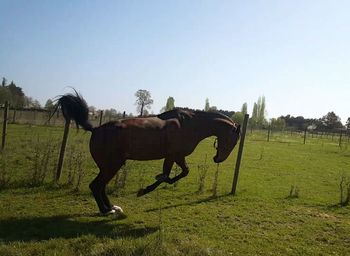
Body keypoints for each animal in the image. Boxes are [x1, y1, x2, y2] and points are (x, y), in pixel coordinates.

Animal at [56, 91, 241, 214]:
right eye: (233, 140)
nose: (218, 159)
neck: (189, 125)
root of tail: (95, 129)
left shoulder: (176, 156)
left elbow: (180, 173)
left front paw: (151, 185)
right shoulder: (174, 155)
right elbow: (167, 176)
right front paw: (144, 190)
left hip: (109, 166)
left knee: (100, 186)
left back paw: (112, 208)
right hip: (111, 166)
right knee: (96, 185)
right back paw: (106, 210)